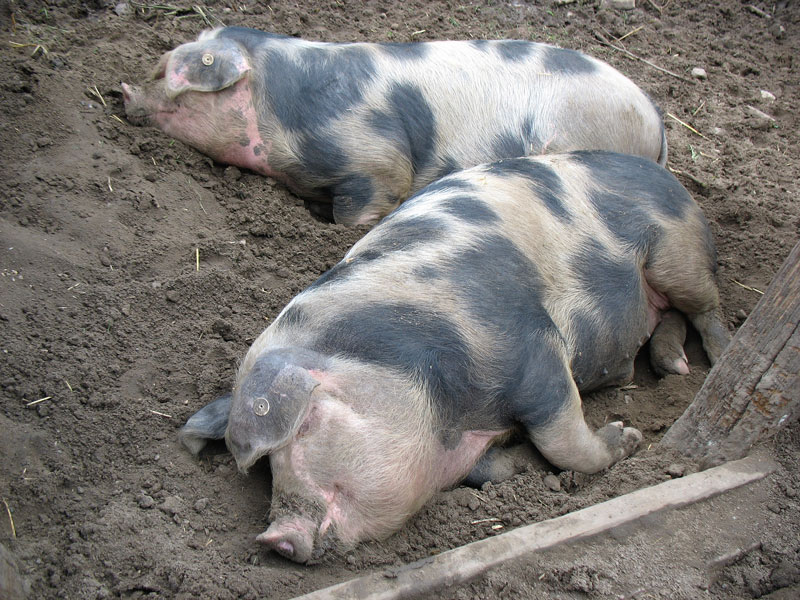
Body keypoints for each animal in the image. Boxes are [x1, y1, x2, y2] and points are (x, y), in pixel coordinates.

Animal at [181, 150, 732, 564]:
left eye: (306, 427)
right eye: (266, 468)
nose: (272, 540)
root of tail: (669, 176)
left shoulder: (533, 350)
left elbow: (564, 440)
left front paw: (627, 436)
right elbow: (489, 469)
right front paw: (519, 466)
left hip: (677, 253)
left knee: (704, 307)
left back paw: (718, 357)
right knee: (670, 318)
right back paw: (672, 365)